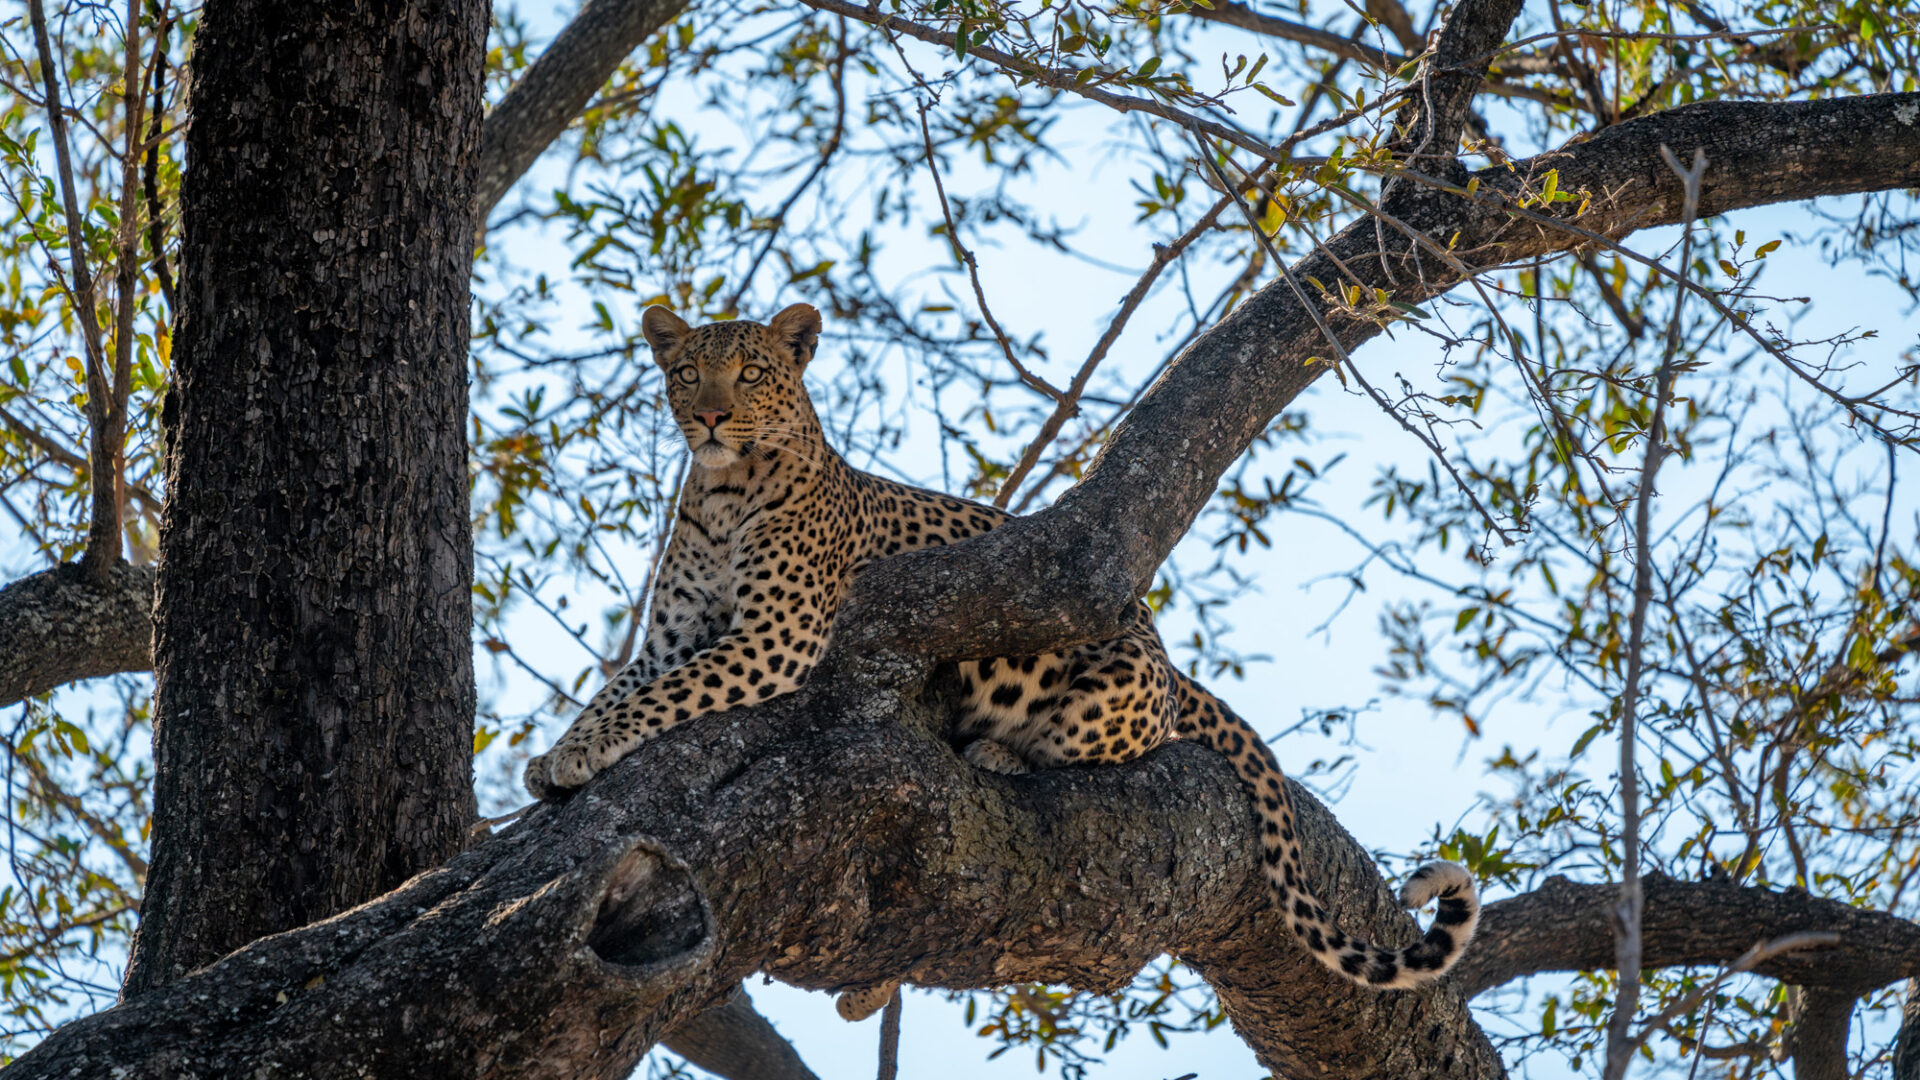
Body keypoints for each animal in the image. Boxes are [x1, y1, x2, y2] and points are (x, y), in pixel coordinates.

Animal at [524, 303, 1481, 1019]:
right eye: (687, 372)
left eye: (752, 373)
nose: (711, 416)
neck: (722, 492)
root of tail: (1173, 662)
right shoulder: (673, 635)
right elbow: (620, 690)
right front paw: (553, 754)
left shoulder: (776, 635)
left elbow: (663, 699)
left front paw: (576, 756)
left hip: (1111, 683)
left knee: (1098, 748)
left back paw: (995, 751)